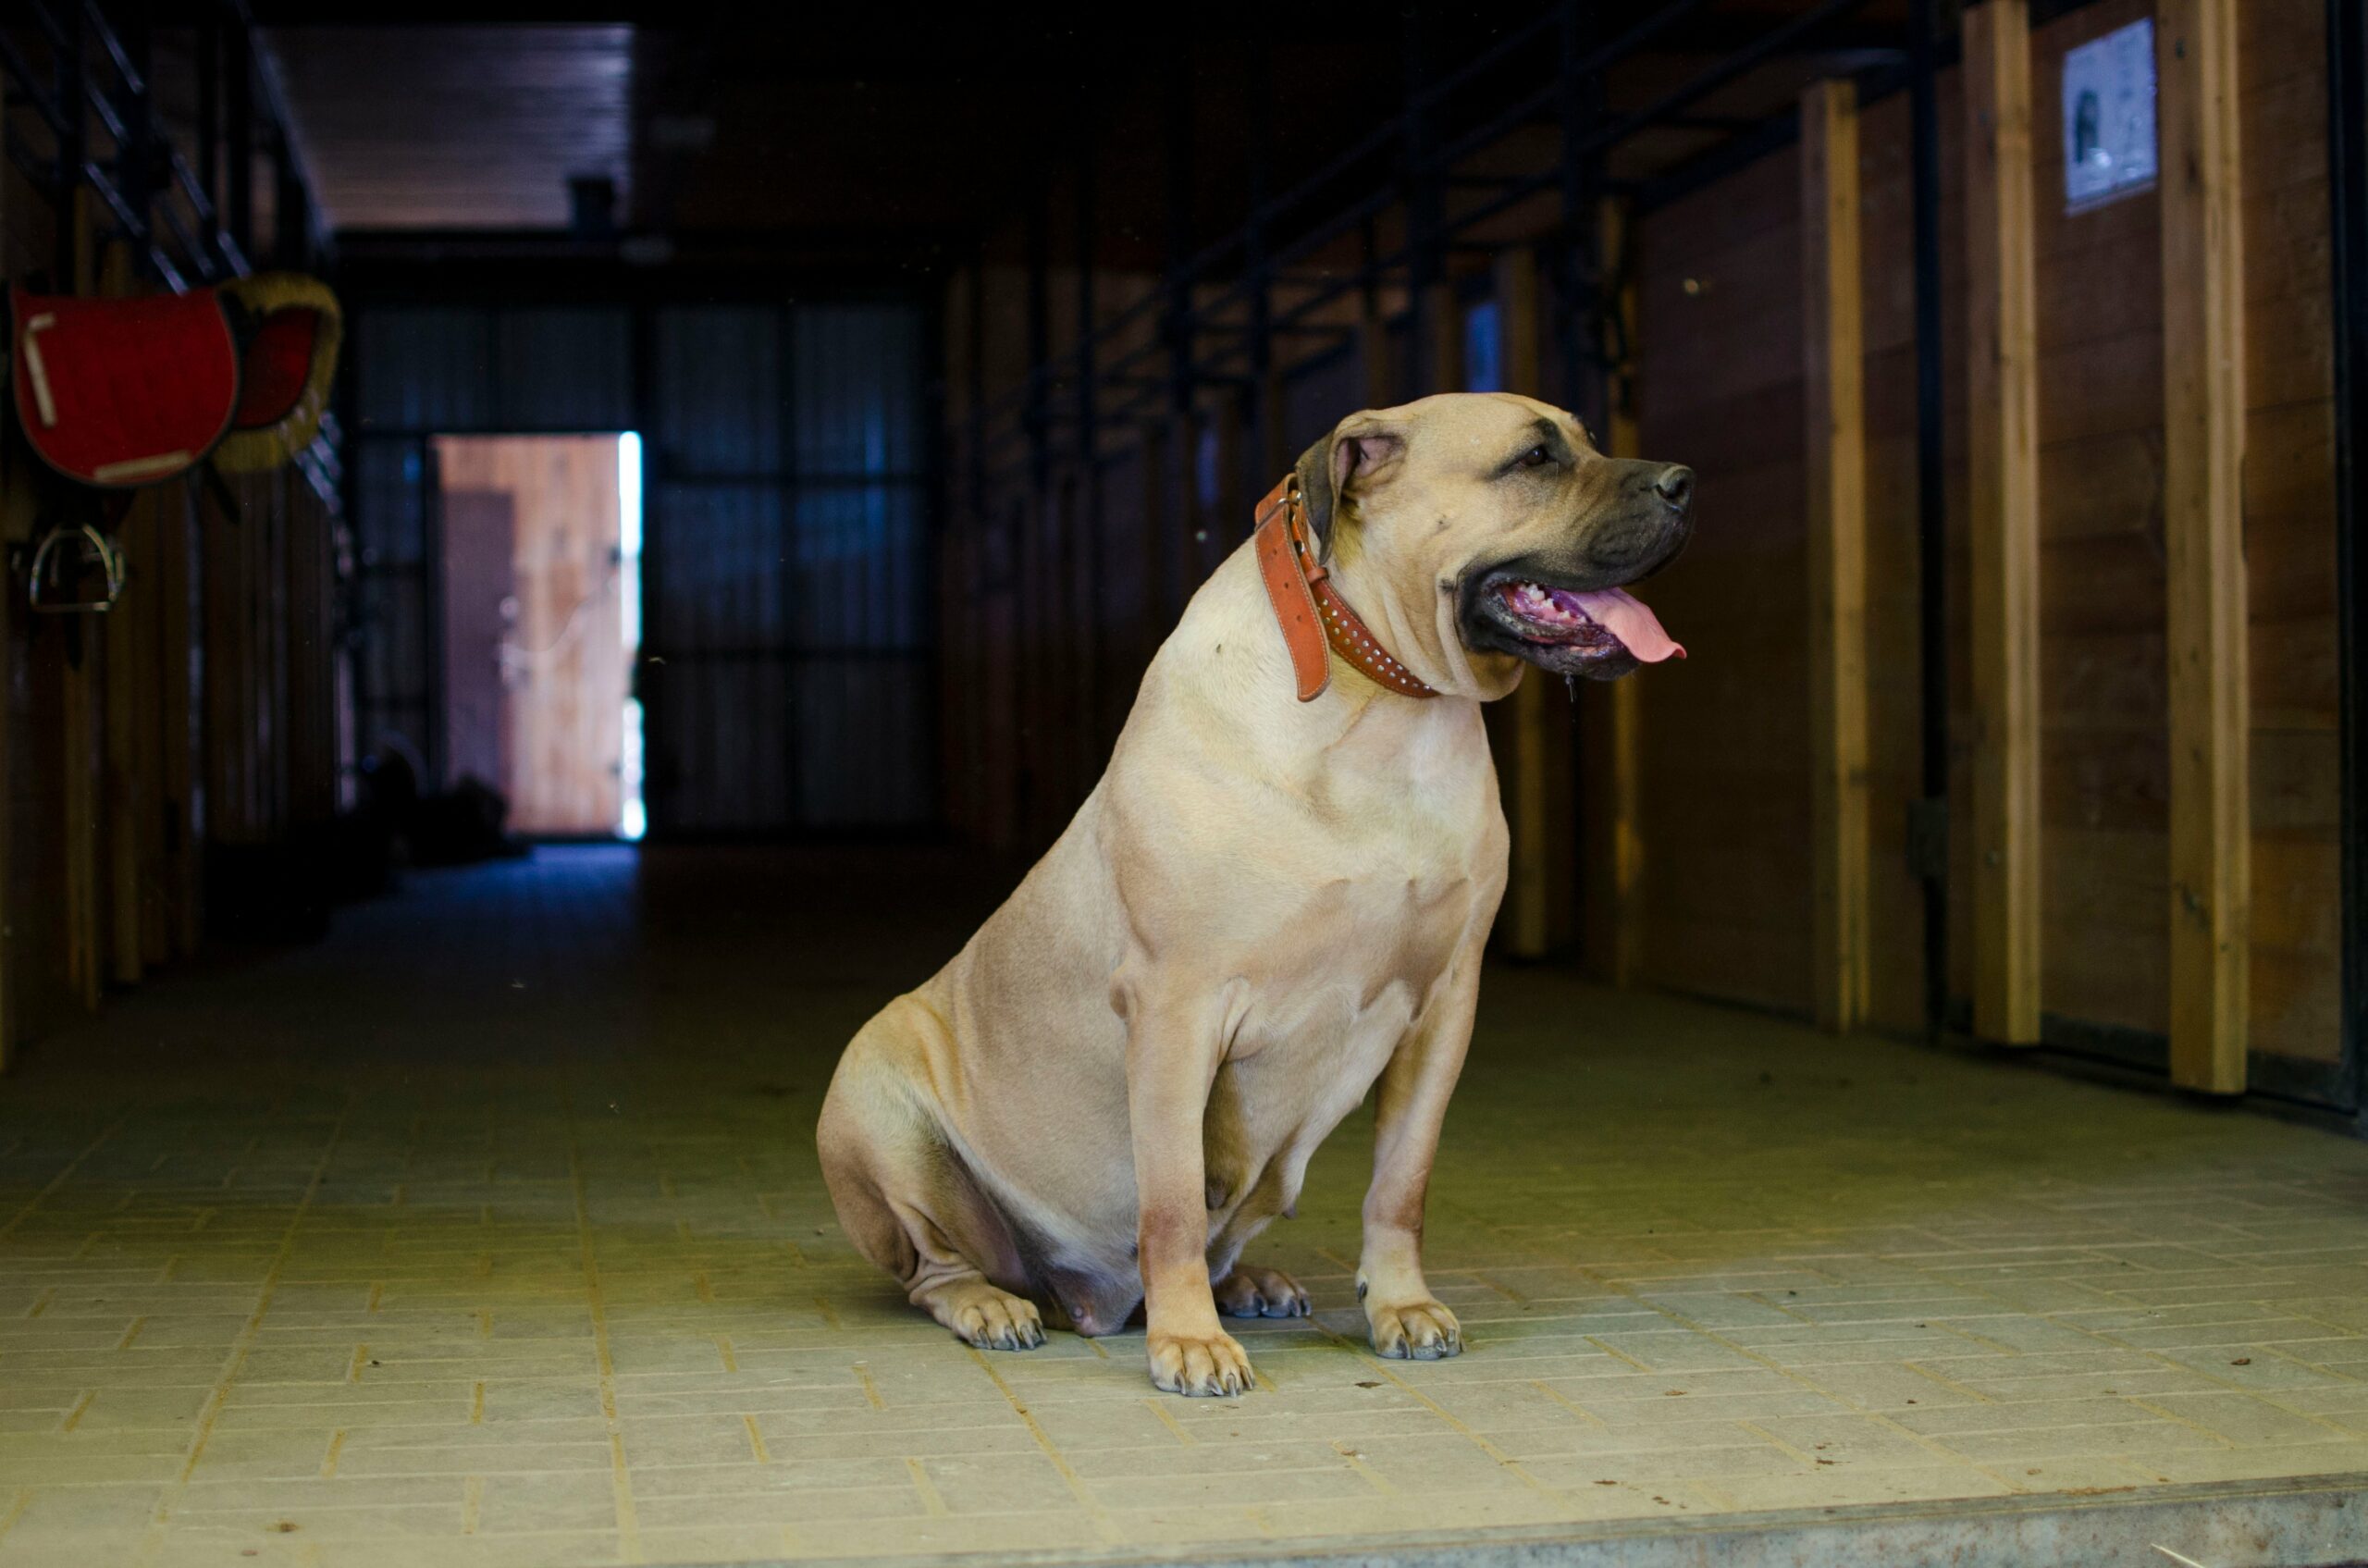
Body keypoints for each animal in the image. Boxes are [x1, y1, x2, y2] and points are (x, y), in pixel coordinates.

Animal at [823, 393, 1695, 1401]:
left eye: (1585, 440)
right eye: (1533, 459)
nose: (1684, 483)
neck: (1379, 706)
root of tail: (1082, 1300)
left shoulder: (1444, 1006)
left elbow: (1401, 1183)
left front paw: (1400, 1305)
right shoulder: (1176, 1007)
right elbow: (1167, 1199)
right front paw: (1188, 1343)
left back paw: (1247, 1283)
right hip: (874, 1094)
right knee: (936, 1264)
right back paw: (993, 1306)